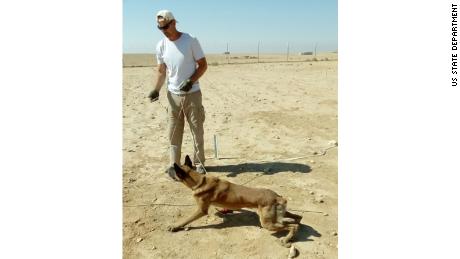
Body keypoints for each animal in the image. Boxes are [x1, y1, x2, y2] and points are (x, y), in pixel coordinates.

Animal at [168, 155, 302, 247]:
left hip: (267, 224)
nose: (167, 171)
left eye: (174, 171)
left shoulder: (201, 210)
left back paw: (286, 239)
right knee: (298, 218)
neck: (200, 181)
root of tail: (276, 197)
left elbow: (186, 219)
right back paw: (294, 228)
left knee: (293, 226)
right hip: (278, 215)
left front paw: (175, 226)